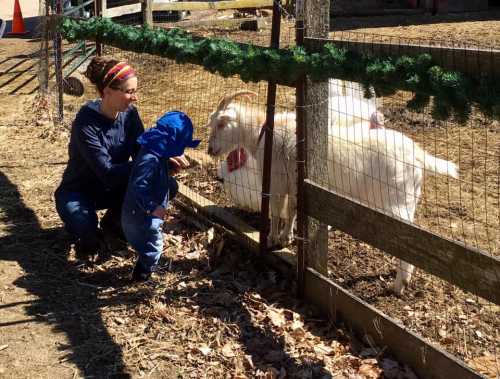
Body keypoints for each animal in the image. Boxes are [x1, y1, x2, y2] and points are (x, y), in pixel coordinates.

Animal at [205, 90, 458, 296]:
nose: (209, 150)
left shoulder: (277, 182)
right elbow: (293, 211)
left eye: (219, 124)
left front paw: (272, 239)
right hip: (410, 198)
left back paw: (399, 285)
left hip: (396, 201)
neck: (261, 134)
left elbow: (277, 212)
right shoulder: (295, 186)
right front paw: (288, 237)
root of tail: (419, 155)